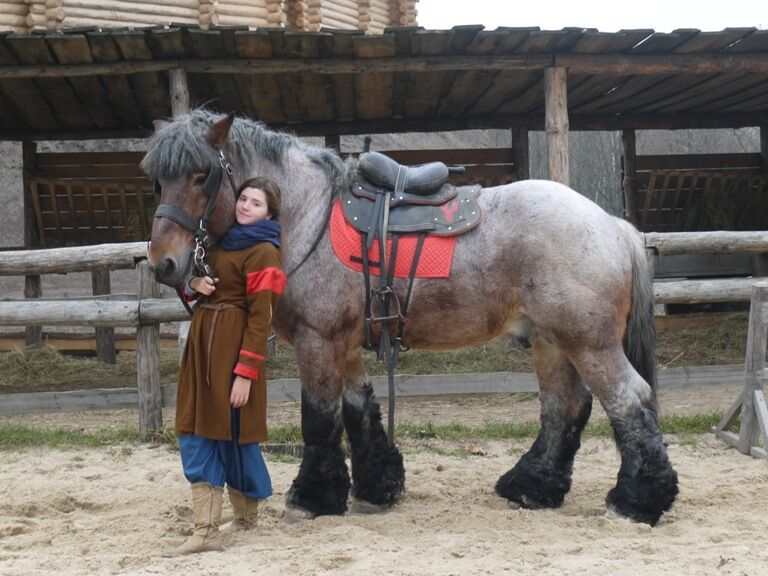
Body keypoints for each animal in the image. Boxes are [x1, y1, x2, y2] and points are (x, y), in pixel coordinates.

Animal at [144, 109, 680, 528]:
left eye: (201, 174)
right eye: (158, 179)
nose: (163, 263)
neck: (306, 216)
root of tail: (611, 223)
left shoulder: (317, 341)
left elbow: (319, 418)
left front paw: (312, 497)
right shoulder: (342, 345)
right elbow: (359, 410)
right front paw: (376, 487)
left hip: (589, 343)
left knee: (629, 400)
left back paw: (636, 501)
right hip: (552, 342)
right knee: (564, 408)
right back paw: (532, 486)